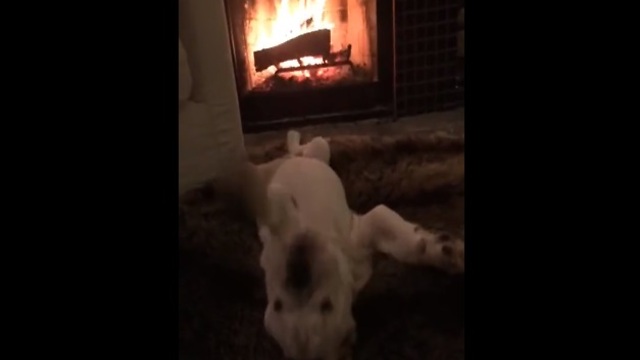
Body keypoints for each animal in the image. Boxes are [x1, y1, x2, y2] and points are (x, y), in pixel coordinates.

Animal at [251, 131, 464, 360]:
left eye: (326, 305)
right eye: (278, 304)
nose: (298, 269)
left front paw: (440, 251)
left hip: (313, 152)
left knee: (306, 147)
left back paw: (296, 141)